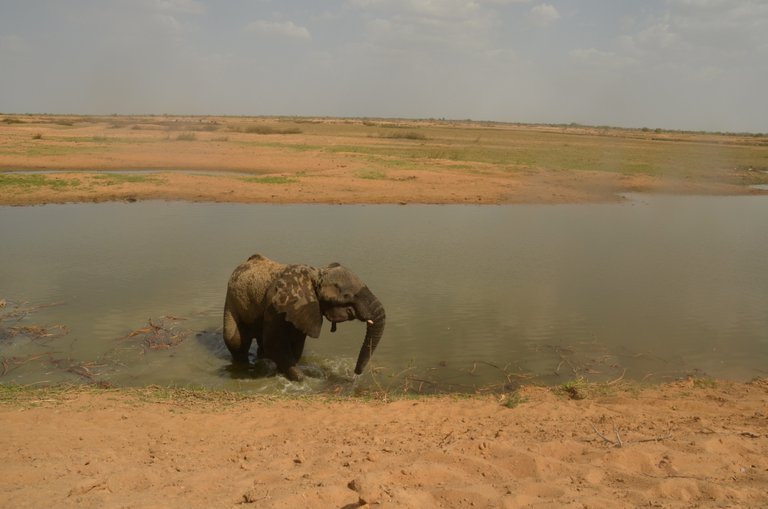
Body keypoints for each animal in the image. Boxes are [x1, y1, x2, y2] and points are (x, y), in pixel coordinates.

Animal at [225, 252, 388, 380]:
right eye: (347, 296)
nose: (355, 374)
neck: (317, 275)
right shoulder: (274, 305)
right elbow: (274, 344)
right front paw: (301, 379)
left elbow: (296, 343)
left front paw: (284, 372)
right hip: (232, 300)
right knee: (236, 342)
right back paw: (243, 367)